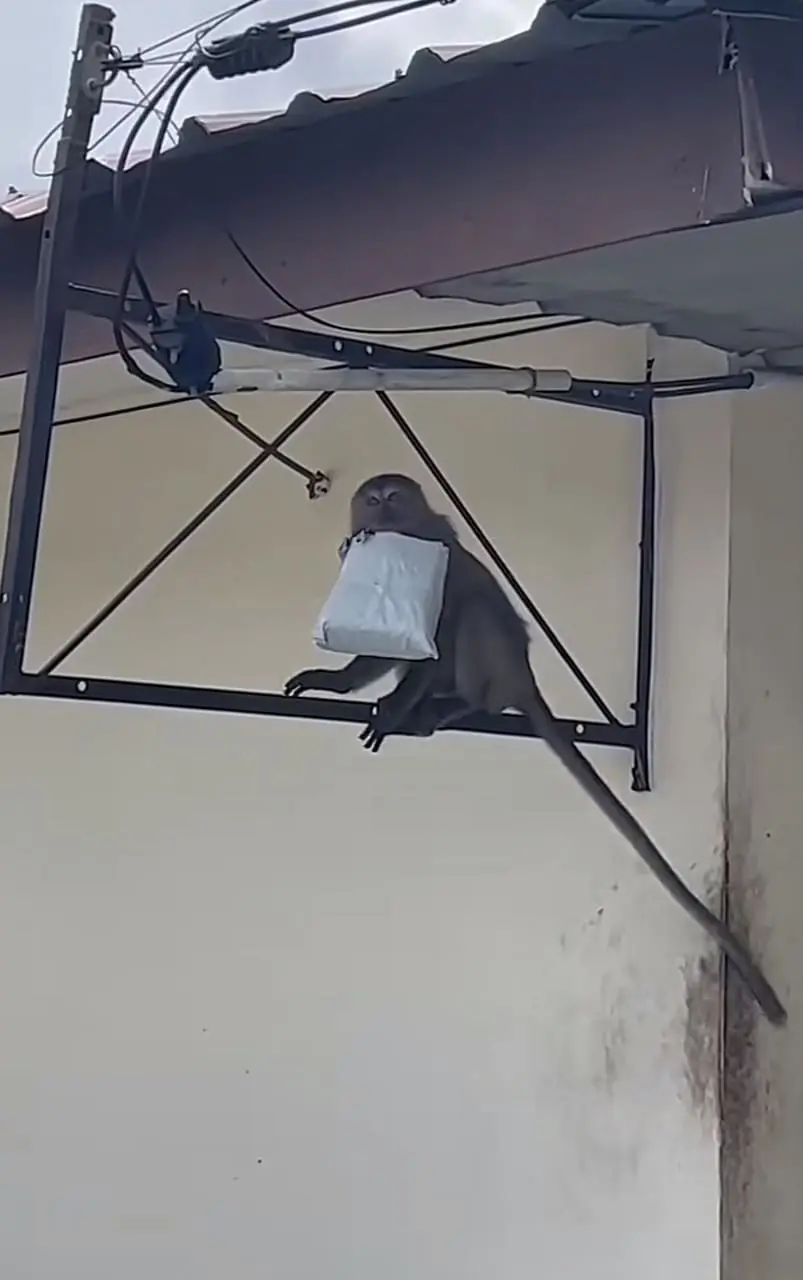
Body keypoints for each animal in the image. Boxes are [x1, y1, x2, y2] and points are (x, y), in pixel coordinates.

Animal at [284, 474, 787, 1027]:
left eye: (394, 497)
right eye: (373, 500)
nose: (383, 510)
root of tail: (520, 679)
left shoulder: (441, 561)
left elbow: (439, 633)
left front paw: (392, 711)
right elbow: (387, 650)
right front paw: (332, 681)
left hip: (498, 662)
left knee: (471, 619)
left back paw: (457, 704)